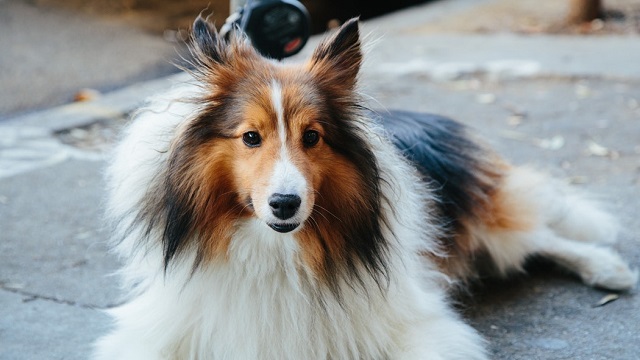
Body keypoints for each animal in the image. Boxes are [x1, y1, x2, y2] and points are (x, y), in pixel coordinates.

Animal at [94, 15, 636, 358]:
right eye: (250, 137)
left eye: (312, 136)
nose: (286, 204)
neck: (276, 251)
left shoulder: (416, 325)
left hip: (487, 221)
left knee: (539, 235)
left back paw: (606, 267)